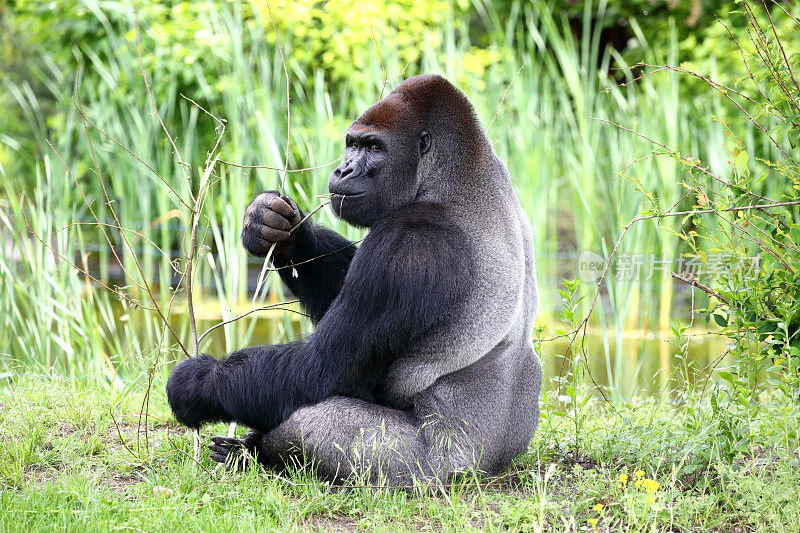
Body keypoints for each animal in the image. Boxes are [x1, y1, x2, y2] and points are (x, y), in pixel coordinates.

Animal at [169, 75, 544, 486]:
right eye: (352, 144)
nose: (344, 170)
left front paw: (199, 383)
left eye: (374, 147)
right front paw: (278, 228)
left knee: (310, 420)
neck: (453, 175)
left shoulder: (410, 243)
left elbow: (321, 370)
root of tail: (495, 467)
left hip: (432, 472)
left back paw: (256, 454)